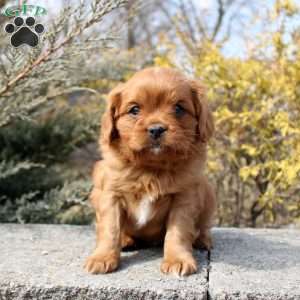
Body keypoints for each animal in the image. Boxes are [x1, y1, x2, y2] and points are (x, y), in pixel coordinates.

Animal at [84, 67, 216, 276]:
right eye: (134, 110)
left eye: (179, 108)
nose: (156, 129)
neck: (151, 168)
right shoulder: (110, 194)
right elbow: (110, 228)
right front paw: (102, 258)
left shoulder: (185, 197)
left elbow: (178, 231)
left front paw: (177, 259)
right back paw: (126, 240)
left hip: (208, 193)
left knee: (202, 227)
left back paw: (202, 240)